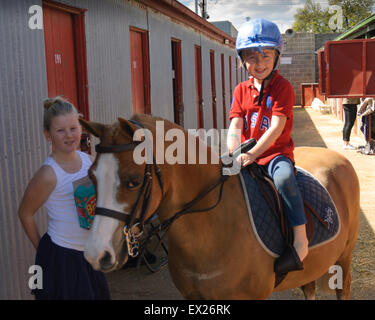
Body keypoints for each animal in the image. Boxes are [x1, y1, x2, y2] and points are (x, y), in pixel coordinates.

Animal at [80, 114, 362, 298]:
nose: (96, 254)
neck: (213, 228)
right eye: (92, 176)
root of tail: (339, 158)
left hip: (345, 257)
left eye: (133, 181)